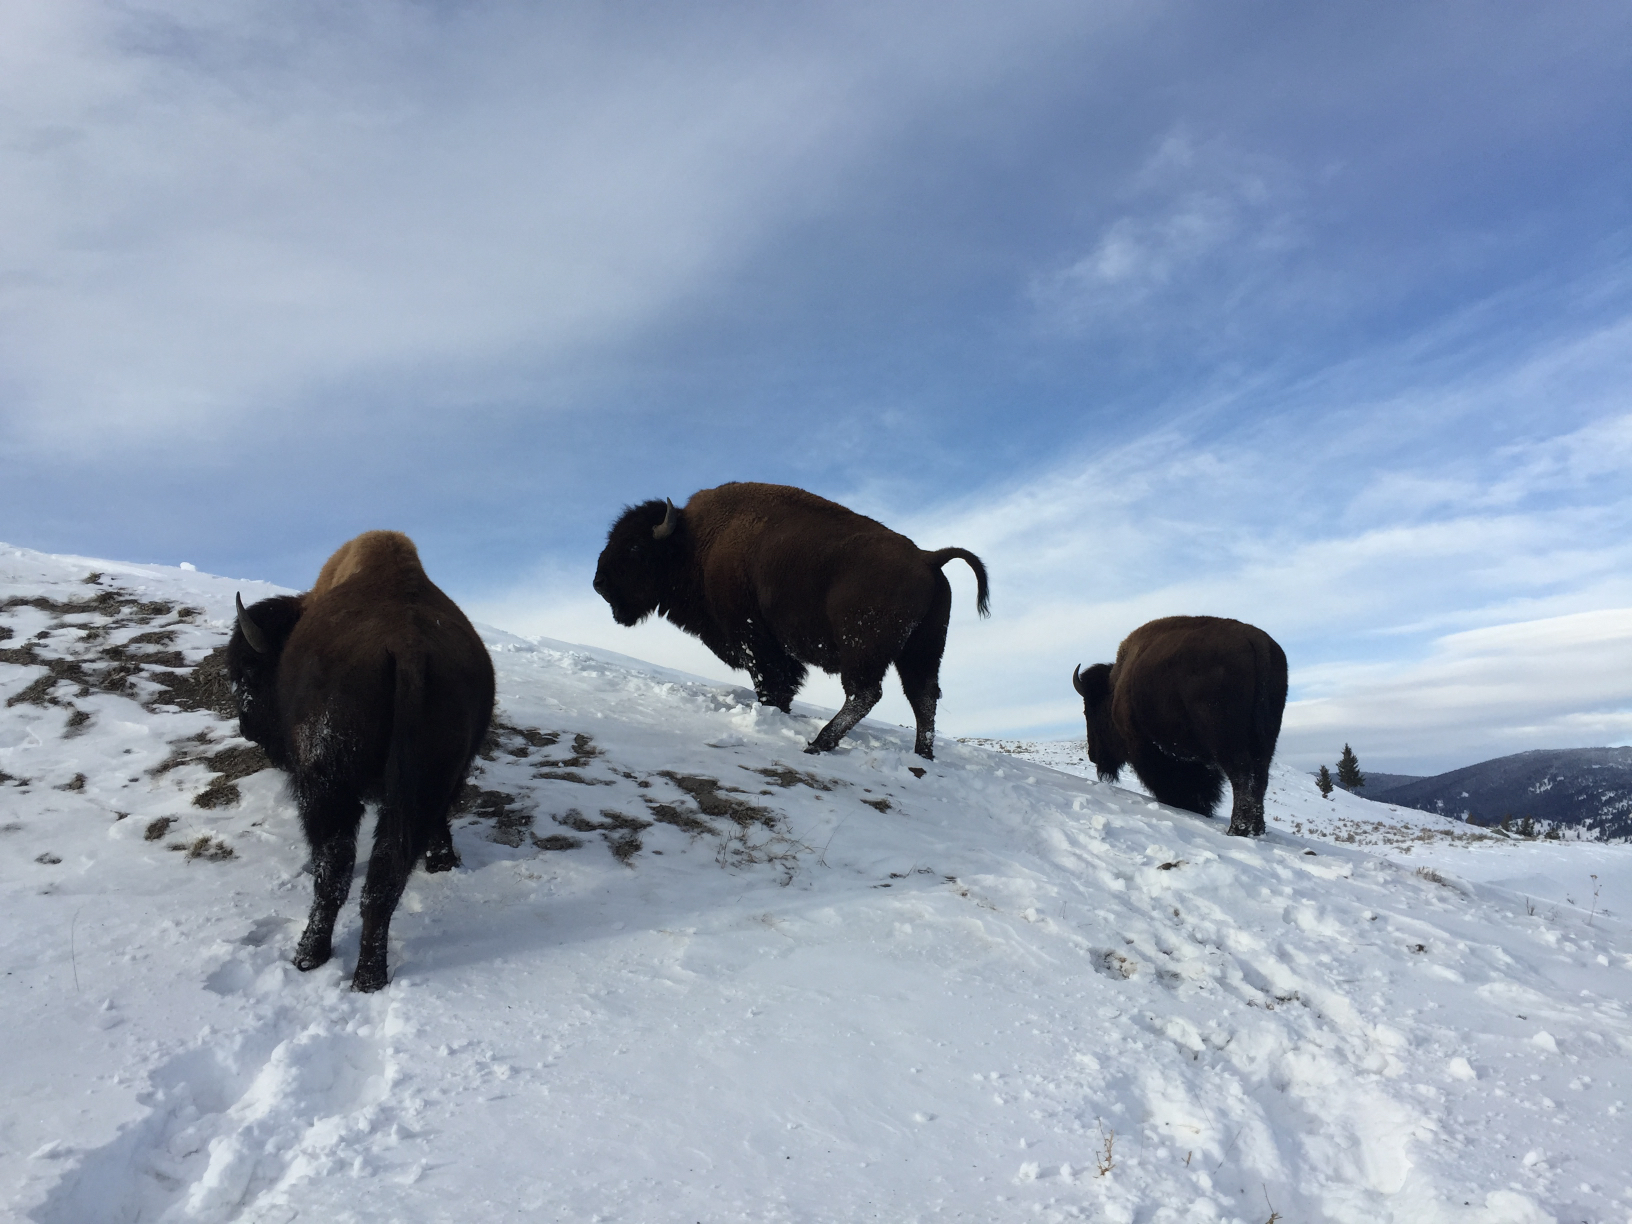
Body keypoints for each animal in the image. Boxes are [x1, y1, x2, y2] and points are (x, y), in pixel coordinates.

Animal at [227, 530, 495, 991]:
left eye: (250, 672)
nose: (247, 726)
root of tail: (407, 649)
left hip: (329, 787)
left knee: (335, 870)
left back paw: (310, 955)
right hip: (425, 784)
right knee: (387, 876)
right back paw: (370, 975)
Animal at [592, 482, 989, 759]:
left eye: (635, 547)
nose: (599, 583)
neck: (695, 544)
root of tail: (927, 557)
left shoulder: (752, 636)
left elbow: (771, 681)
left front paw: (772, 711)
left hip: (863, 647)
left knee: (865, 693)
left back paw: (818, 744)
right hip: (922, 650)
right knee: (923, 697)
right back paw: (923, 756)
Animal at [1072, 616, 1286, 837]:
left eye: (1090, 711)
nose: (1093, 755)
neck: (1116, 688)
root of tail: (1257, 641)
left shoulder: (1145, 746)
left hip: (1226, 740)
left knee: (1242, 775)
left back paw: (1237, 829)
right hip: (1266, 738)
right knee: (1259, 777)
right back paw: (1256, 830)